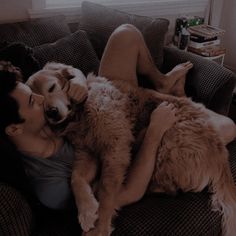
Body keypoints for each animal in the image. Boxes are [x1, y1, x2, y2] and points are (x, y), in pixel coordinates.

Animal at [26, 61, 236, 235]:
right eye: (38, 101)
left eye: (52, 88)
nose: (51, 113)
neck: (80, 114)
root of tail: (220, 152)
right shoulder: (87, 152)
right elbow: (75, 178)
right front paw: (86, 211)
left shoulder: (115, 147)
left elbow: (106, 190)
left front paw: (100, 226)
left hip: (167, 143)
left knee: (168, 186)